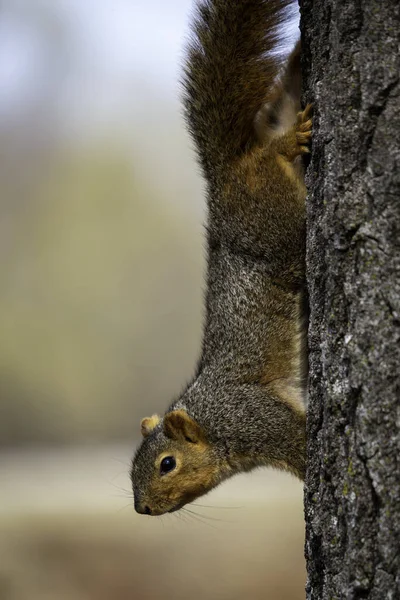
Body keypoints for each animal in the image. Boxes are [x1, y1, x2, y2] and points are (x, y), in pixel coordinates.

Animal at [130, 0, 310, 516]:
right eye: (131, 470)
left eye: (167, 464)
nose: (142, 509)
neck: (212, 422)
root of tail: (221, 175)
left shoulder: (255, 418)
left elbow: (301, 443)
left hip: (273, 221)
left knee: (270, 155)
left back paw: (287, 141)